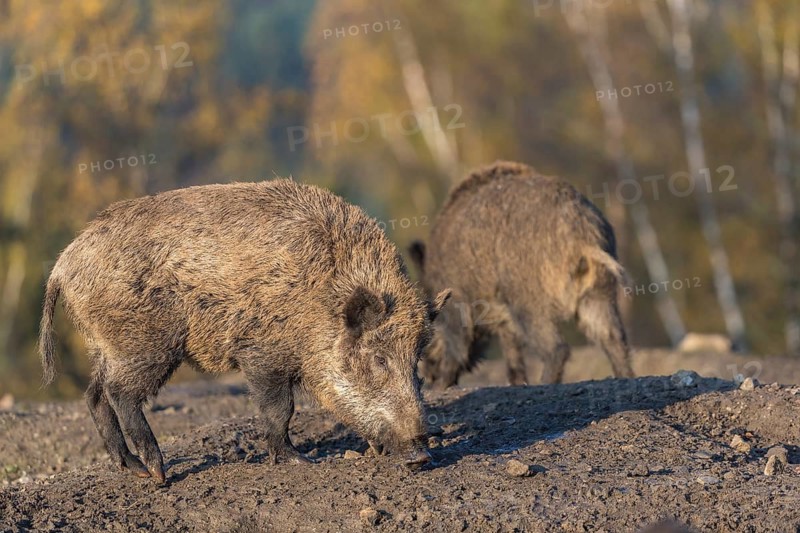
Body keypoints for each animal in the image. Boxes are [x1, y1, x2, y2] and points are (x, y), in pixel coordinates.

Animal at [39, 179, 451, 483]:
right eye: (379, 359)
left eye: (416, 359)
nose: (422, 454)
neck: (320, 300)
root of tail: (62, 265)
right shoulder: (261, 352)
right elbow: (280, 408)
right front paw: (300, 461)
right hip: (145, 342)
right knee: (119, 393)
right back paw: (158, 474)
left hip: (105, 343)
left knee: (94, 395)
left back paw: (133, 469)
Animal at [409, 161, 634, 387]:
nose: (427, 374)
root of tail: (583, 235)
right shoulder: (503, 319)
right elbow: (512, 355)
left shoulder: (460, 306)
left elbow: (458, 348)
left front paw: (441, 386)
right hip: (600, 291)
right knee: (614, 338)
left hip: (530, 301)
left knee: (556, 349)